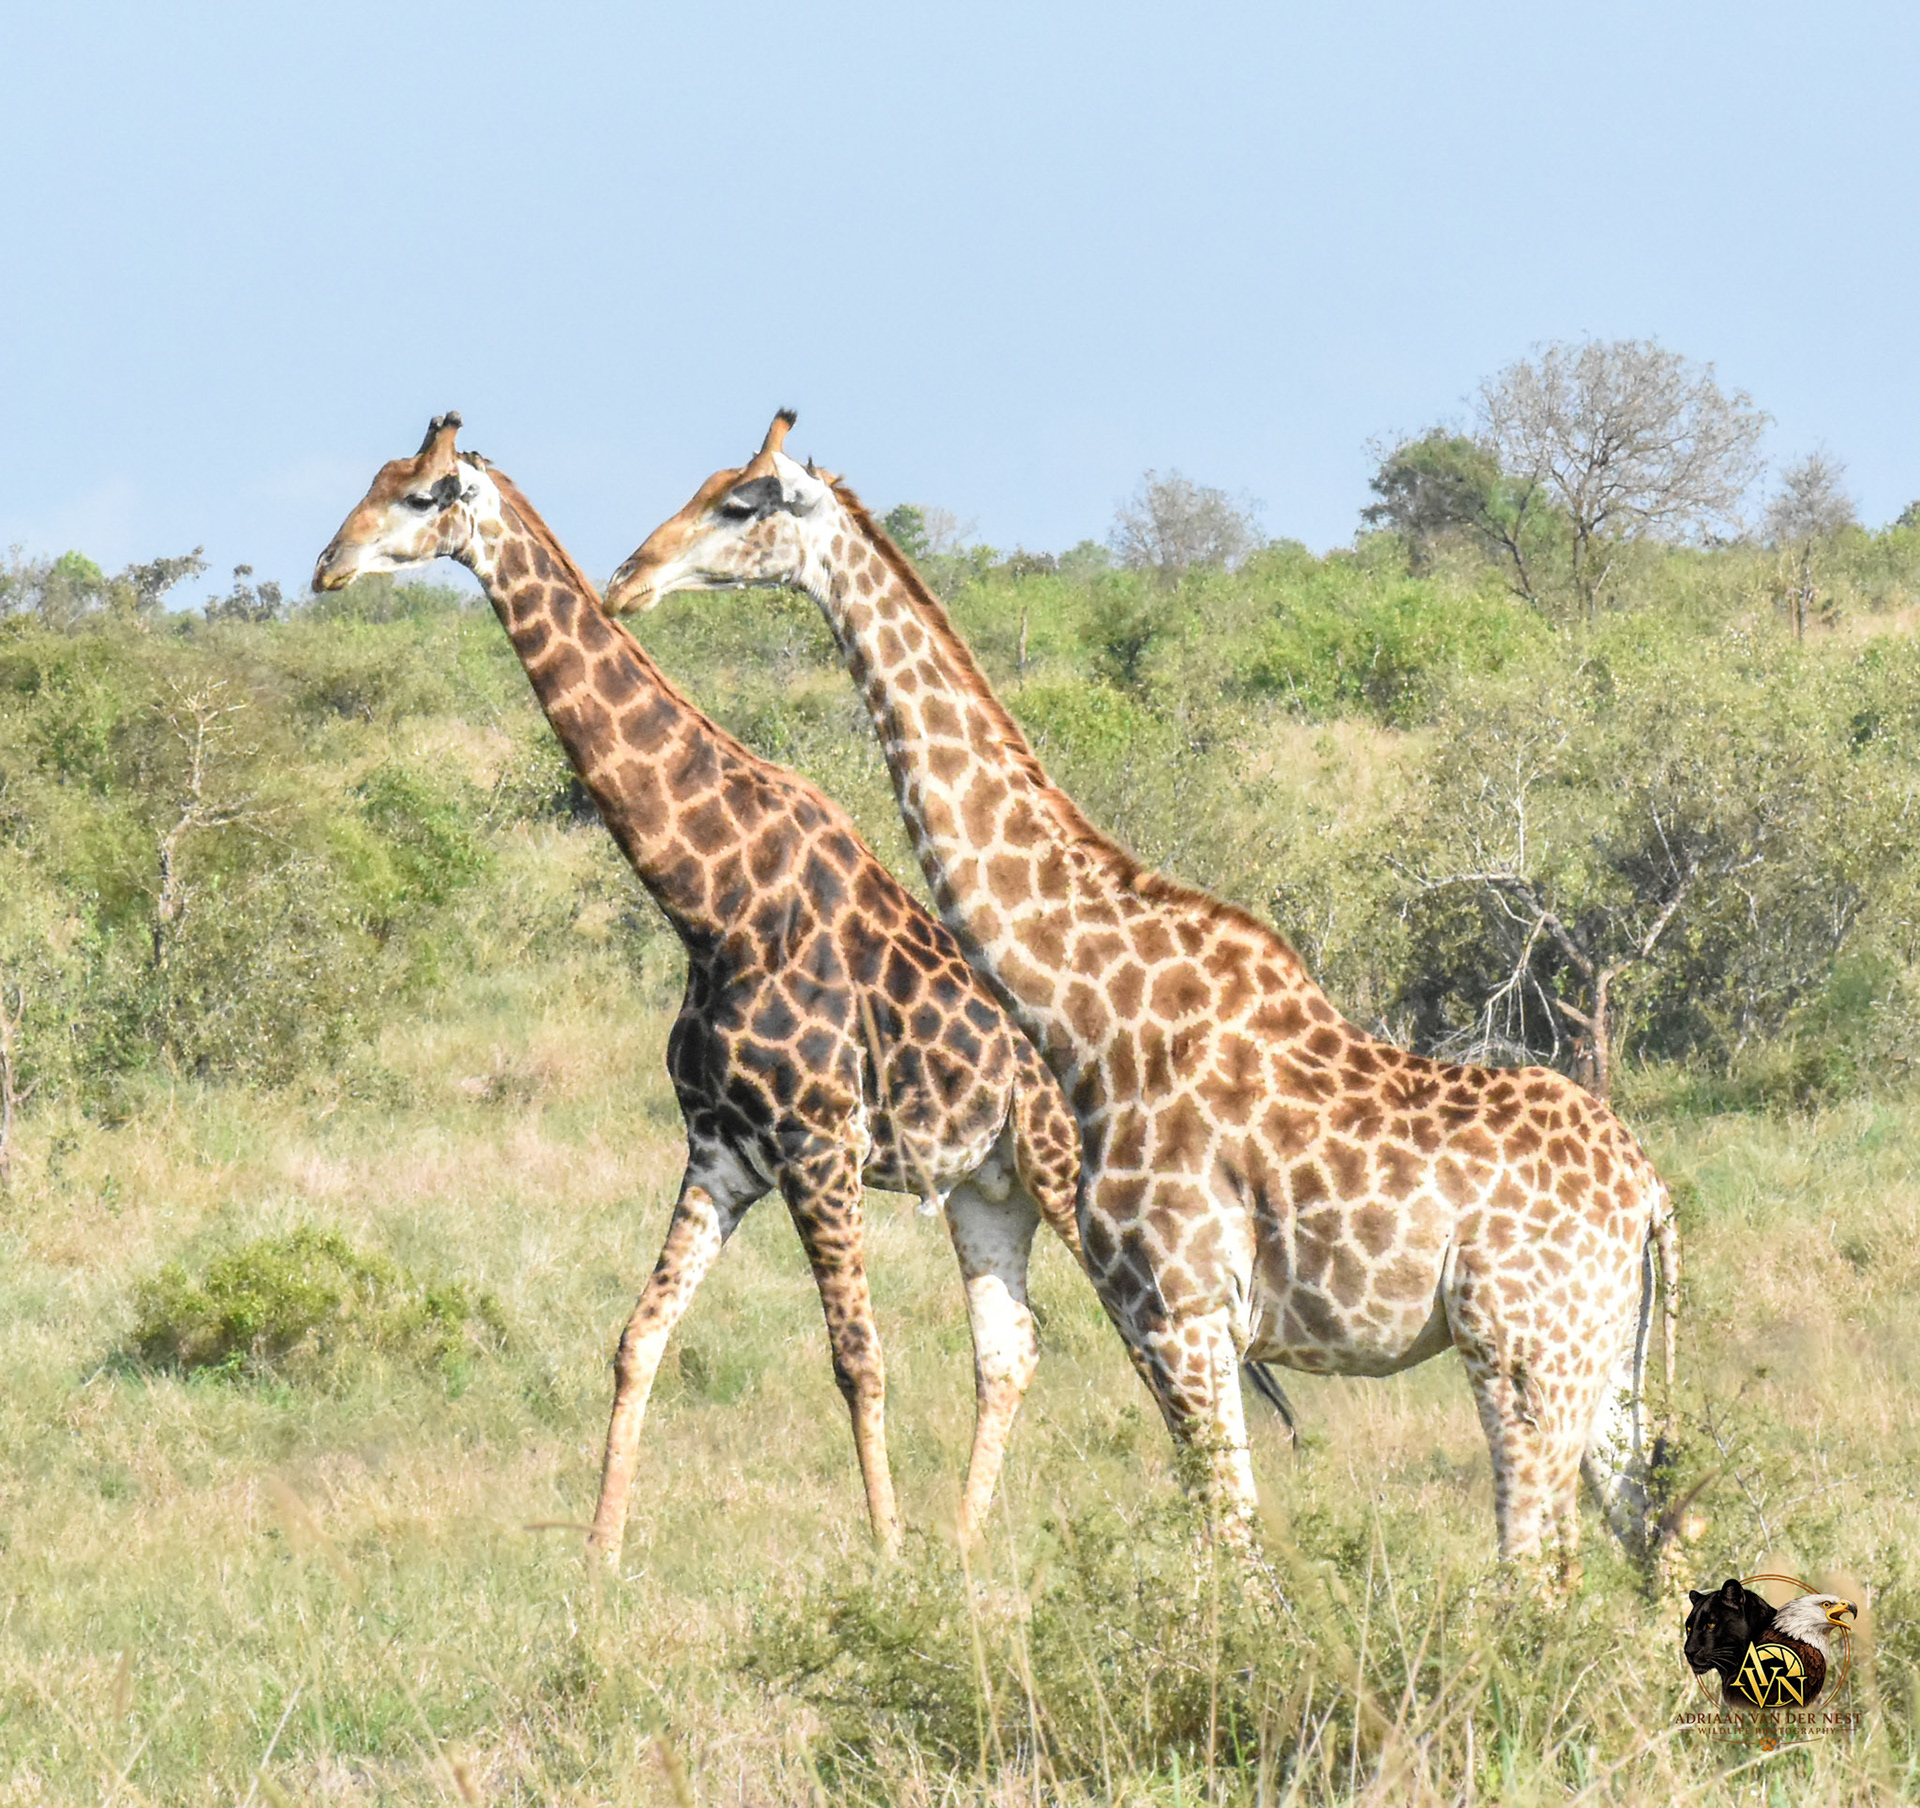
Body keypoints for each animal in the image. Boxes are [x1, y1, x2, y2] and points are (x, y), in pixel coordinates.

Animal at [312, 414, 1087, 1563]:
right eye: (374, 481)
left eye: (421, 495)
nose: (326, 565)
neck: (714, 902)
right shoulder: (721, 1151)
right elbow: (638, 1336)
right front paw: (600, 1556)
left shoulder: (821, 1145)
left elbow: (858, 1355)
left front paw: (886, 1554)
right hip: (990, 1188)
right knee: (1013, 1347)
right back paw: (968, 1547)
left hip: (1069, 1175)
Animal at [603, 413, 1682, 1573]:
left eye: (742, 503)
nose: (628, 577)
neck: (1092, 1016)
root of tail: (1651, 1196)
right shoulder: (1163, 1316)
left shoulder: (1181, 1308)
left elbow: (1236, 1553)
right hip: (1603, 1366)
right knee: (1657, 1536)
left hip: (1520, 1353)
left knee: (1538, 1569)